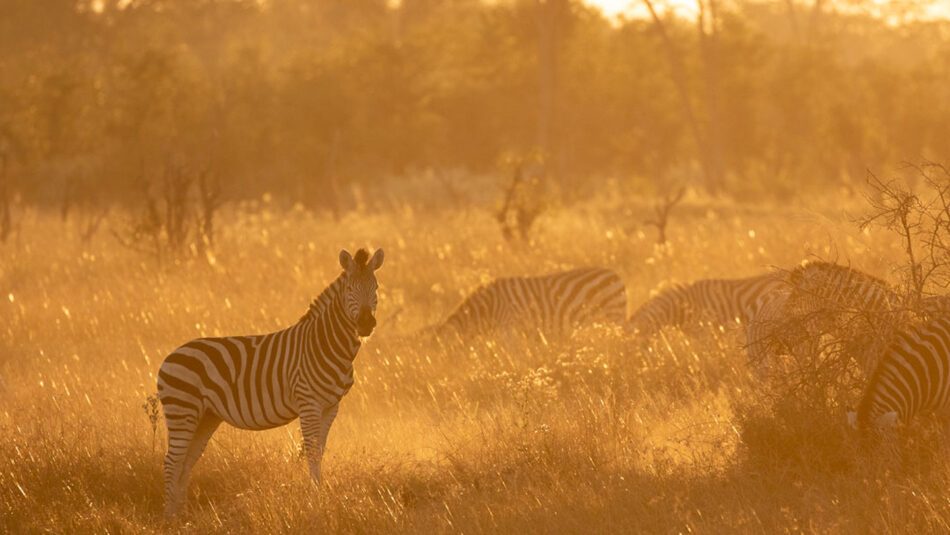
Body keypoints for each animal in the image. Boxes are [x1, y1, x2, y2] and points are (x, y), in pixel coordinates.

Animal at [156, 249, 384, 516]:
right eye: (349, 288)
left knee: (187, 460)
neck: (324, 343)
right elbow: (311, 452)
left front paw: (319, 495)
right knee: (172, 461)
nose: (366, 323)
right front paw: (314, 501)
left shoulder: (331, 405)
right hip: (182, 409)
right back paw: (169, 516)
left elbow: (320, 450)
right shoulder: (309, 402)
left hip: (205, 416)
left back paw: (182, 515)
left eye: (376, 287)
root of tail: (169, 356)